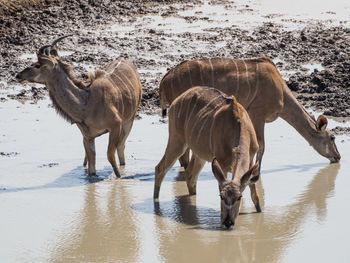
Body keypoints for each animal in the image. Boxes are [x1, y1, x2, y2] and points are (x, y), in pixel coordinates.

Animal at [16, 36, 142, 177]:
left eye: (37, 65)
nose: (18, 75)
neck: (88, 104)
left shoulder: (116, 125)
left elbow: (111, 156)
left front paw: (119, 177)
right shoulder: (87, 137)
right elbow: (92, 170)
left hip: (129, 120)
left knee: (121, 148)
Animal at [155, 87, 260, 229]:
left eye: (239, 197)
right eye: (221, 197)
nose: (228, 222)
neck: (238, 125)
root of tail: (176, 101)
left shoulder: (251, 159)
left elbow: (255, 194)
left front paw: (260, 212)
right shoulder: (221, 163)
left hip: (199, 154)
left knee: (189, 175)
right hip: (177, 141)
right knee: (160, 168)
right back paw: (156, 203)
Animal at [160, 57, 340, 169]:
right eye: (332, 137)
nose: (338, 157)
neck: (281, 90)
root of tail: (165, 80)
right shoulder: (258, 115)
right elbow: (261, 145)